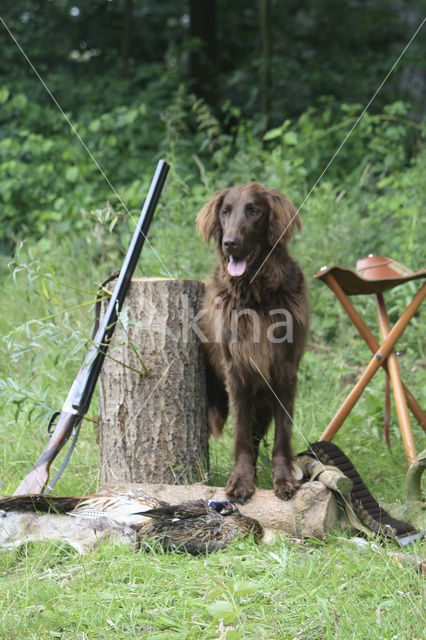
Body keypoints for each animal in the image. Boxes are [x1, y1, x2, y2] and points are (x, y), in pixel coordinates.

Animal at [198, 182, 308, 502]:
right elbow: (241, 435)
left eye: (254, 212)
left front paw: (283, 479)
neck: (254, 295)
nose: (230, 243)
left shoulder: (284, 372)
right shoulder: (236, 373)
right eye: (224, 212)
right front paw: (241, 481)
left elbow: (282, 434)